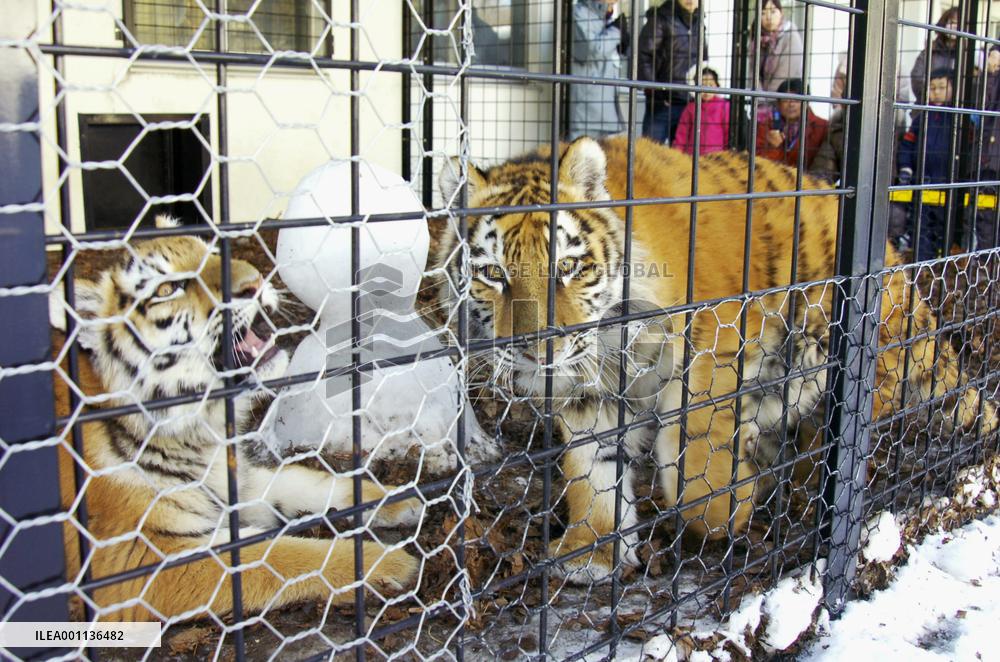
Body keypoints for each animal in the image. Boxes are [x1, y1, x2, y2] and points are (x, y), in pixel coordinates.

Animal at [51, 220, 419, 621]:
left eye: (211, 253)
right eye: (165, 289)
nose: (254, 283)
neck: (198, 433)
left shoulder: (237, 482)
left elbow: (312, 482)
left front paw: (400, 497)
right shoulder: (147, 558)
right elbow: (279, 555)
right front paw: (390, 563)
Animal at [434, 135, 998, 584]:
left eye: (568, 267)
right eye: (493, 274)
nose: (540, 349)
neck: (611, 345)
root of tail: (898, 266)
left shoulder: (711, 349)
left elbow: (694, 458)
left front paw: (728, 505)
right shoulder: (589, 394)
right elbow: (592, 472)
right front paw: (591, 551)